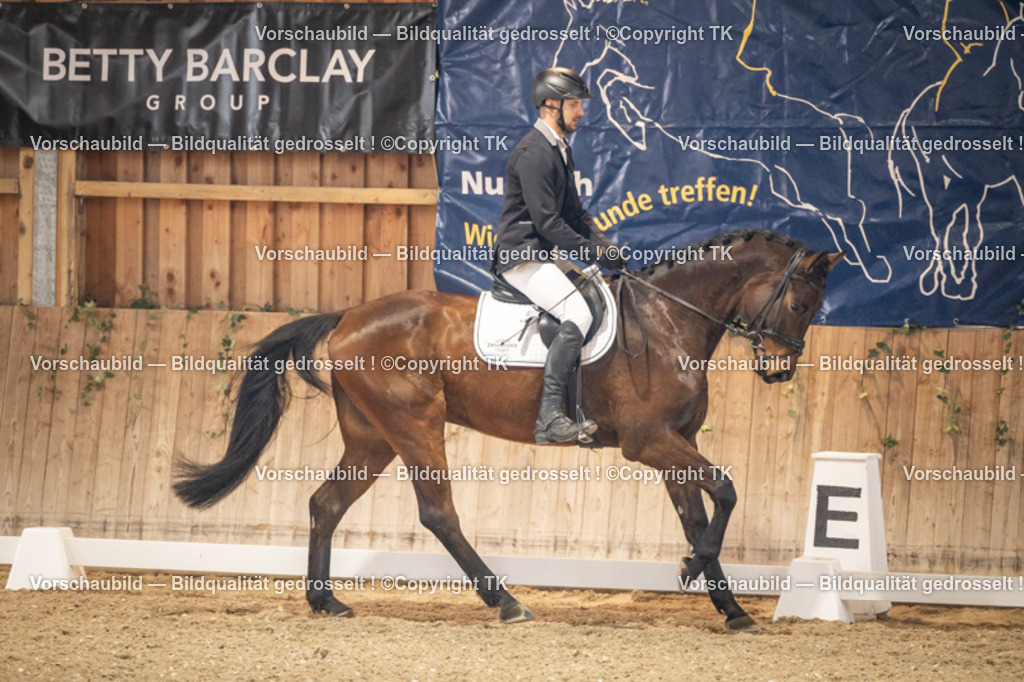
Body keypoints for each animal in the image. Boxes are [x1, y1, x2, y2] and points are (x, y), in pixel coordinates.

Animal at [173, 228, 843, 630]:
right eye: (801, 304)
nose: (780, 370)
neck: (666, 320)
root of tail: (348, 316)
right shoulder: (649, 442)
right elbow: (726, 490)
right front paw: (692, 571)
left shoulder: (677, 443)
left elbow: (698, 516)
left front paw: (727, 604)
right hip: (415, 427)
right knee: (437, 513)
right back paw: (506, 600)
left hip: (372, 438)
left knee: (326, 503)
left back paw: (326, 600)